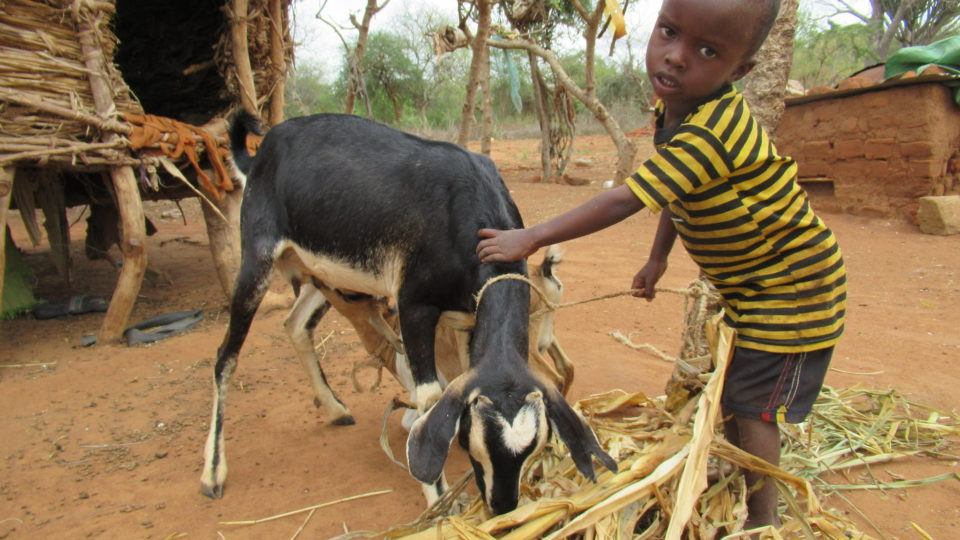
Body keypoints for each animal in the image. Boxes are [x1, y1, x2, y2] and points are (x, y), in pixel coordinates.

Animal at [200, 110, 616, 516]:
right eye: (474, 441)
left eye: (531, 447)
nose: (502, 506)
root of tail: (262, 151)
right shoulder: (414, 307)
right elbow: (430, 398)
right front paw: (440, 500)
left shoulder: (469, 320)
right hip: (258, 256)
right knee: (225, 357)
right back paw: (213, 473)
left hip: (322, 276)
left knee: (295, 324)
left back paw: (334, 409)